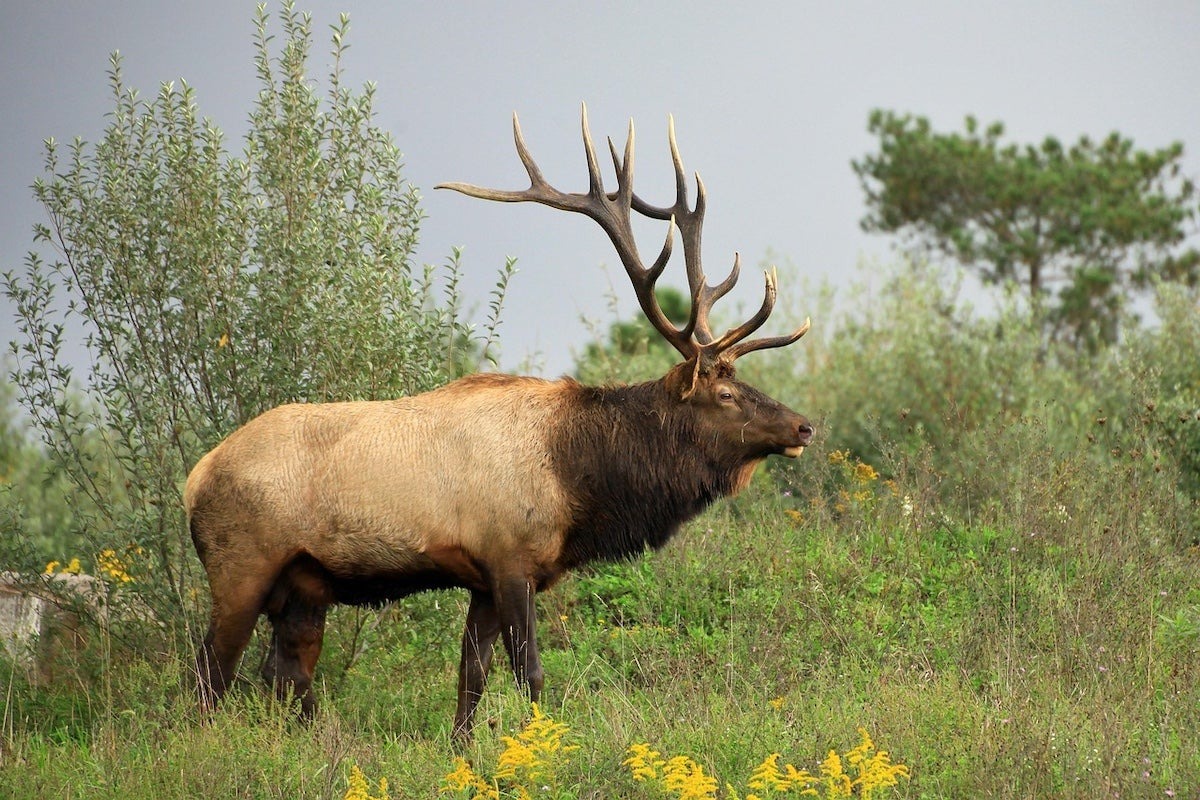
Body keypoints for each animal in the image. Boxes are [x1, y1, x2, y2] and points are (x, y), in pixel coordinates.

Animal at [185, 106, 814, 739]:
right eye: (726, 393)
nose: (804, 427)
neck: (579, 480)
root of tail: (196, 477)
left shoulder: (483, 579)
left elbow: (472, 677)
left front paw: (462, 750)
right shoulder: (510, 558)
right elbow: (528, 671)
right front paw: (545, 743)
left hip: (305, 584)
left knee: (285, 672)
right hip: (241, 567)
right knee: (210, 676)